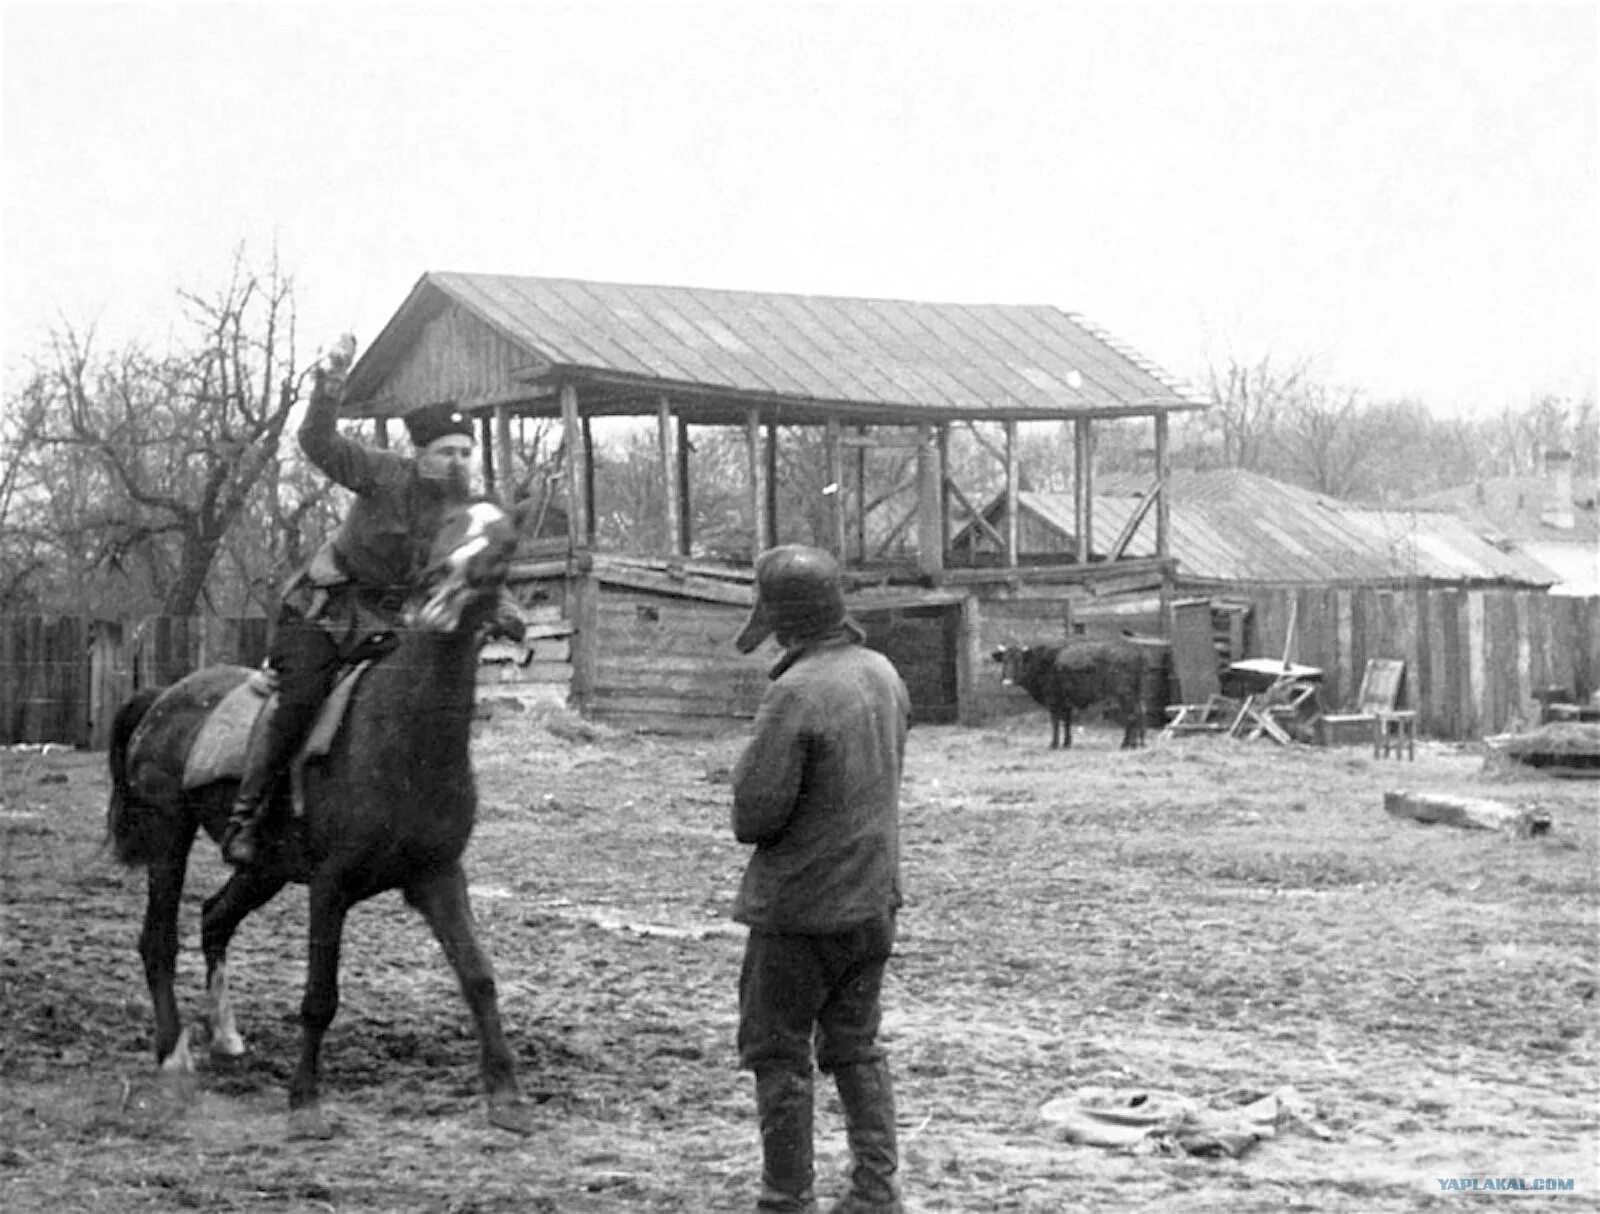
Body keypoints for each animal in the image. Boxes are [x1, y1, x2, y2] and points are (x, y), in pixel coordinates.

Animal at [111, 492, 544, 1138]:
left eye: (505, 547)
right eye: (442, 531)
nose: (439, 598)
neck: (403, 736)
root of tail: (163, 697)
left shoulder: (438, 876)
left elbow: (478, 976)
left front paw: (508, 1094)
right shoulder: (330, 885)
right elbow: (320, 995)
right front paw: (305, 1100)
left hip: (263, 868)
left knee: (214, 918)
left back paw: (226, 1035)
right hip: (169, 839)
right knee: (158, 941)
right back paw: (174, 1054)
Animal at [992, 636, 1145, 751]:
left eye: (1019, 660)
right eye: (1004, 661)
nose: (1007, 681)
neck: (1044, 661)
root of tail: (1135, 653)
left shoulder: (1053, 700)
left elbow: (1055, 722)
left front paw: (1053, 744)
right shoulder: (1066, 703)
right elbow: (1067, 722)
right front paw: (1066, 743)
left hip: (1124, 695)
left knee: (1132, 715)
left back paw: (1127, 744)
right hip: (1134, 695)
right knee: (1139, 714)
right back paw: (1138, 744)